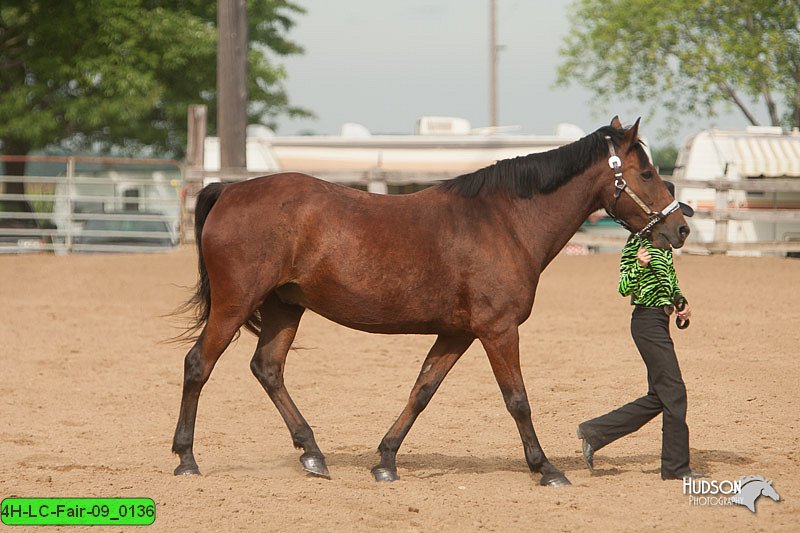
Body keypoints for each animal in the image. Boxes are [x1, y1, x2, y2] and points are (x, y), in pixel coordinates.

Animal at [172, 117, 692, 486]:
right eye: (647, 172)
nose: (681, 226)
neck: (504, 221)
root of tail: (229, 189)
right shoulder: (498, 330)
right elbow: (517, 400)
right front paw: (545, 468)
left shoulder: (457, 333)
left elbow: (422, 391)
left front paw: (385, 460)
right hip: (236, 304)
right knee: (198, 364)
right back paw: (186, 458)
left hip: (285, 308)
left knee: (268, 369)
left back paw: (313, 454)